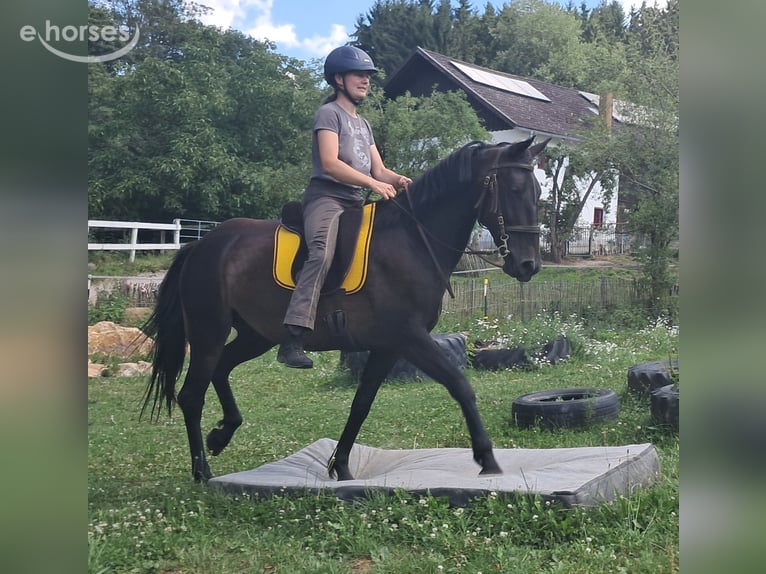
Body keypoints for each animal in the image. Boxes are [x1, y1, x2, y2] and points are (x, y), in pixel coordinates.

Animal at [141, 136, 550, 482]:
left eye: (537, 192)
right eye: (515, 190)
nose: (529, 265)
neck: (412, 241)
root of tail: (202, 244)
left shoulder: (388, 346)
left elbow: (361, 404)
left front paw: (340, 466)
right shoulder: (411, 338)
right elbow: (460, 385)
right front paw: (487, 458)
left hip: (255, 335)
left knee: (221, 370)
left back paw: (222, 435)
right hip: (208, 332)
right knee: (191, 395)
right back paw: (202, 471)